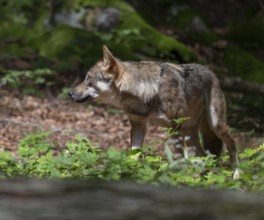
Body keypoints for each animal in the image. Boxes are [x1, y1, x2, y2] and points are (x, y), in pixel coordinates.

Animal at [69, 45, 240, 178]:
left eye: (88, 79)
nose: (70, 93)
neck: (148, 91)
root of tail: (212, 73)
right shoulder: (138, 126)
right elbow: (134, 155)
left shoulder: (174, 128)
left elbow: (175, 158)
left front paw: (174, 177)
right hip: (190, 133)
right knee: (204, 156)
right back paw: (204, 180)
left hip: (215, 126)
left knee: (232, 145)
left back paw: (236, 174)